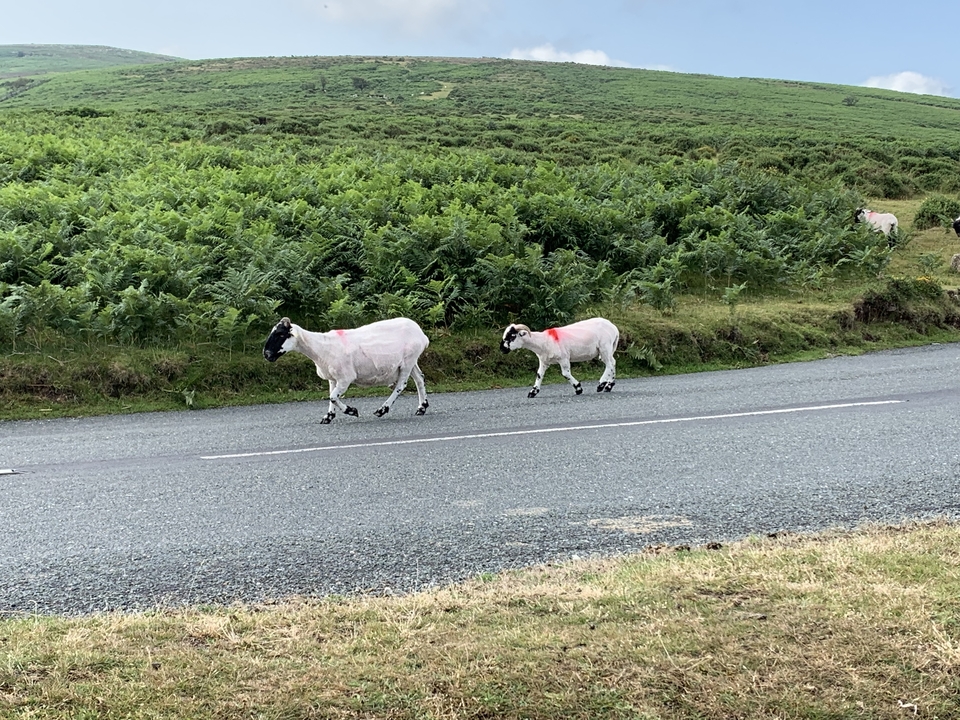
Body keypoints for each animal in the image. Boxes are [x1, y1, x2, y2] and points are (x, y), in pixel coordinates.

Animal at [263, 316, 429, 424]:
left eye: (281, 334)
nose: (266, 354)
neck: (321, 347)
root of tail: (421, 334)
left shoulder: (345, 378)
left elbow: (333, 397)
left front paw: (352, 411)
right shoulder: (332, 378)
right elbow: (331, 395)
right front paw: (328, 417)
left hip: (408, 361)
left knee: (401, 385)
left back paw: (382, 409)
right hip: (410, 361)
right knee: (419, 378)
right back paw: (422, 407)